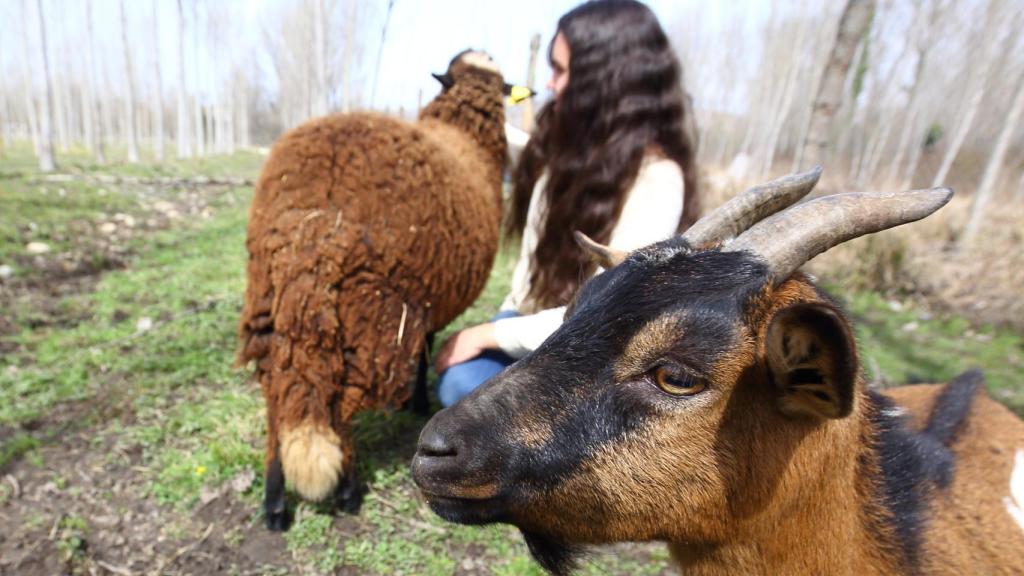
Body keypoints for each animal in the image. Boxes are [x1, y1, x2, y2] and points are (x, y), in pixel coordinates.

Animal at [237, 50, 512, 528]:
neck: (466, 134)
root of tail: (312, 225)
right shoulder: (423, 302)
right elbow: (425, 349)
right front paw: (416, 402)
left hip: (270, 302)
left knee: (277, 402)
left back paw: (274, 503)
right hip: (371, 309)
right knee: (342, 408)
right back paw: (348, 490)